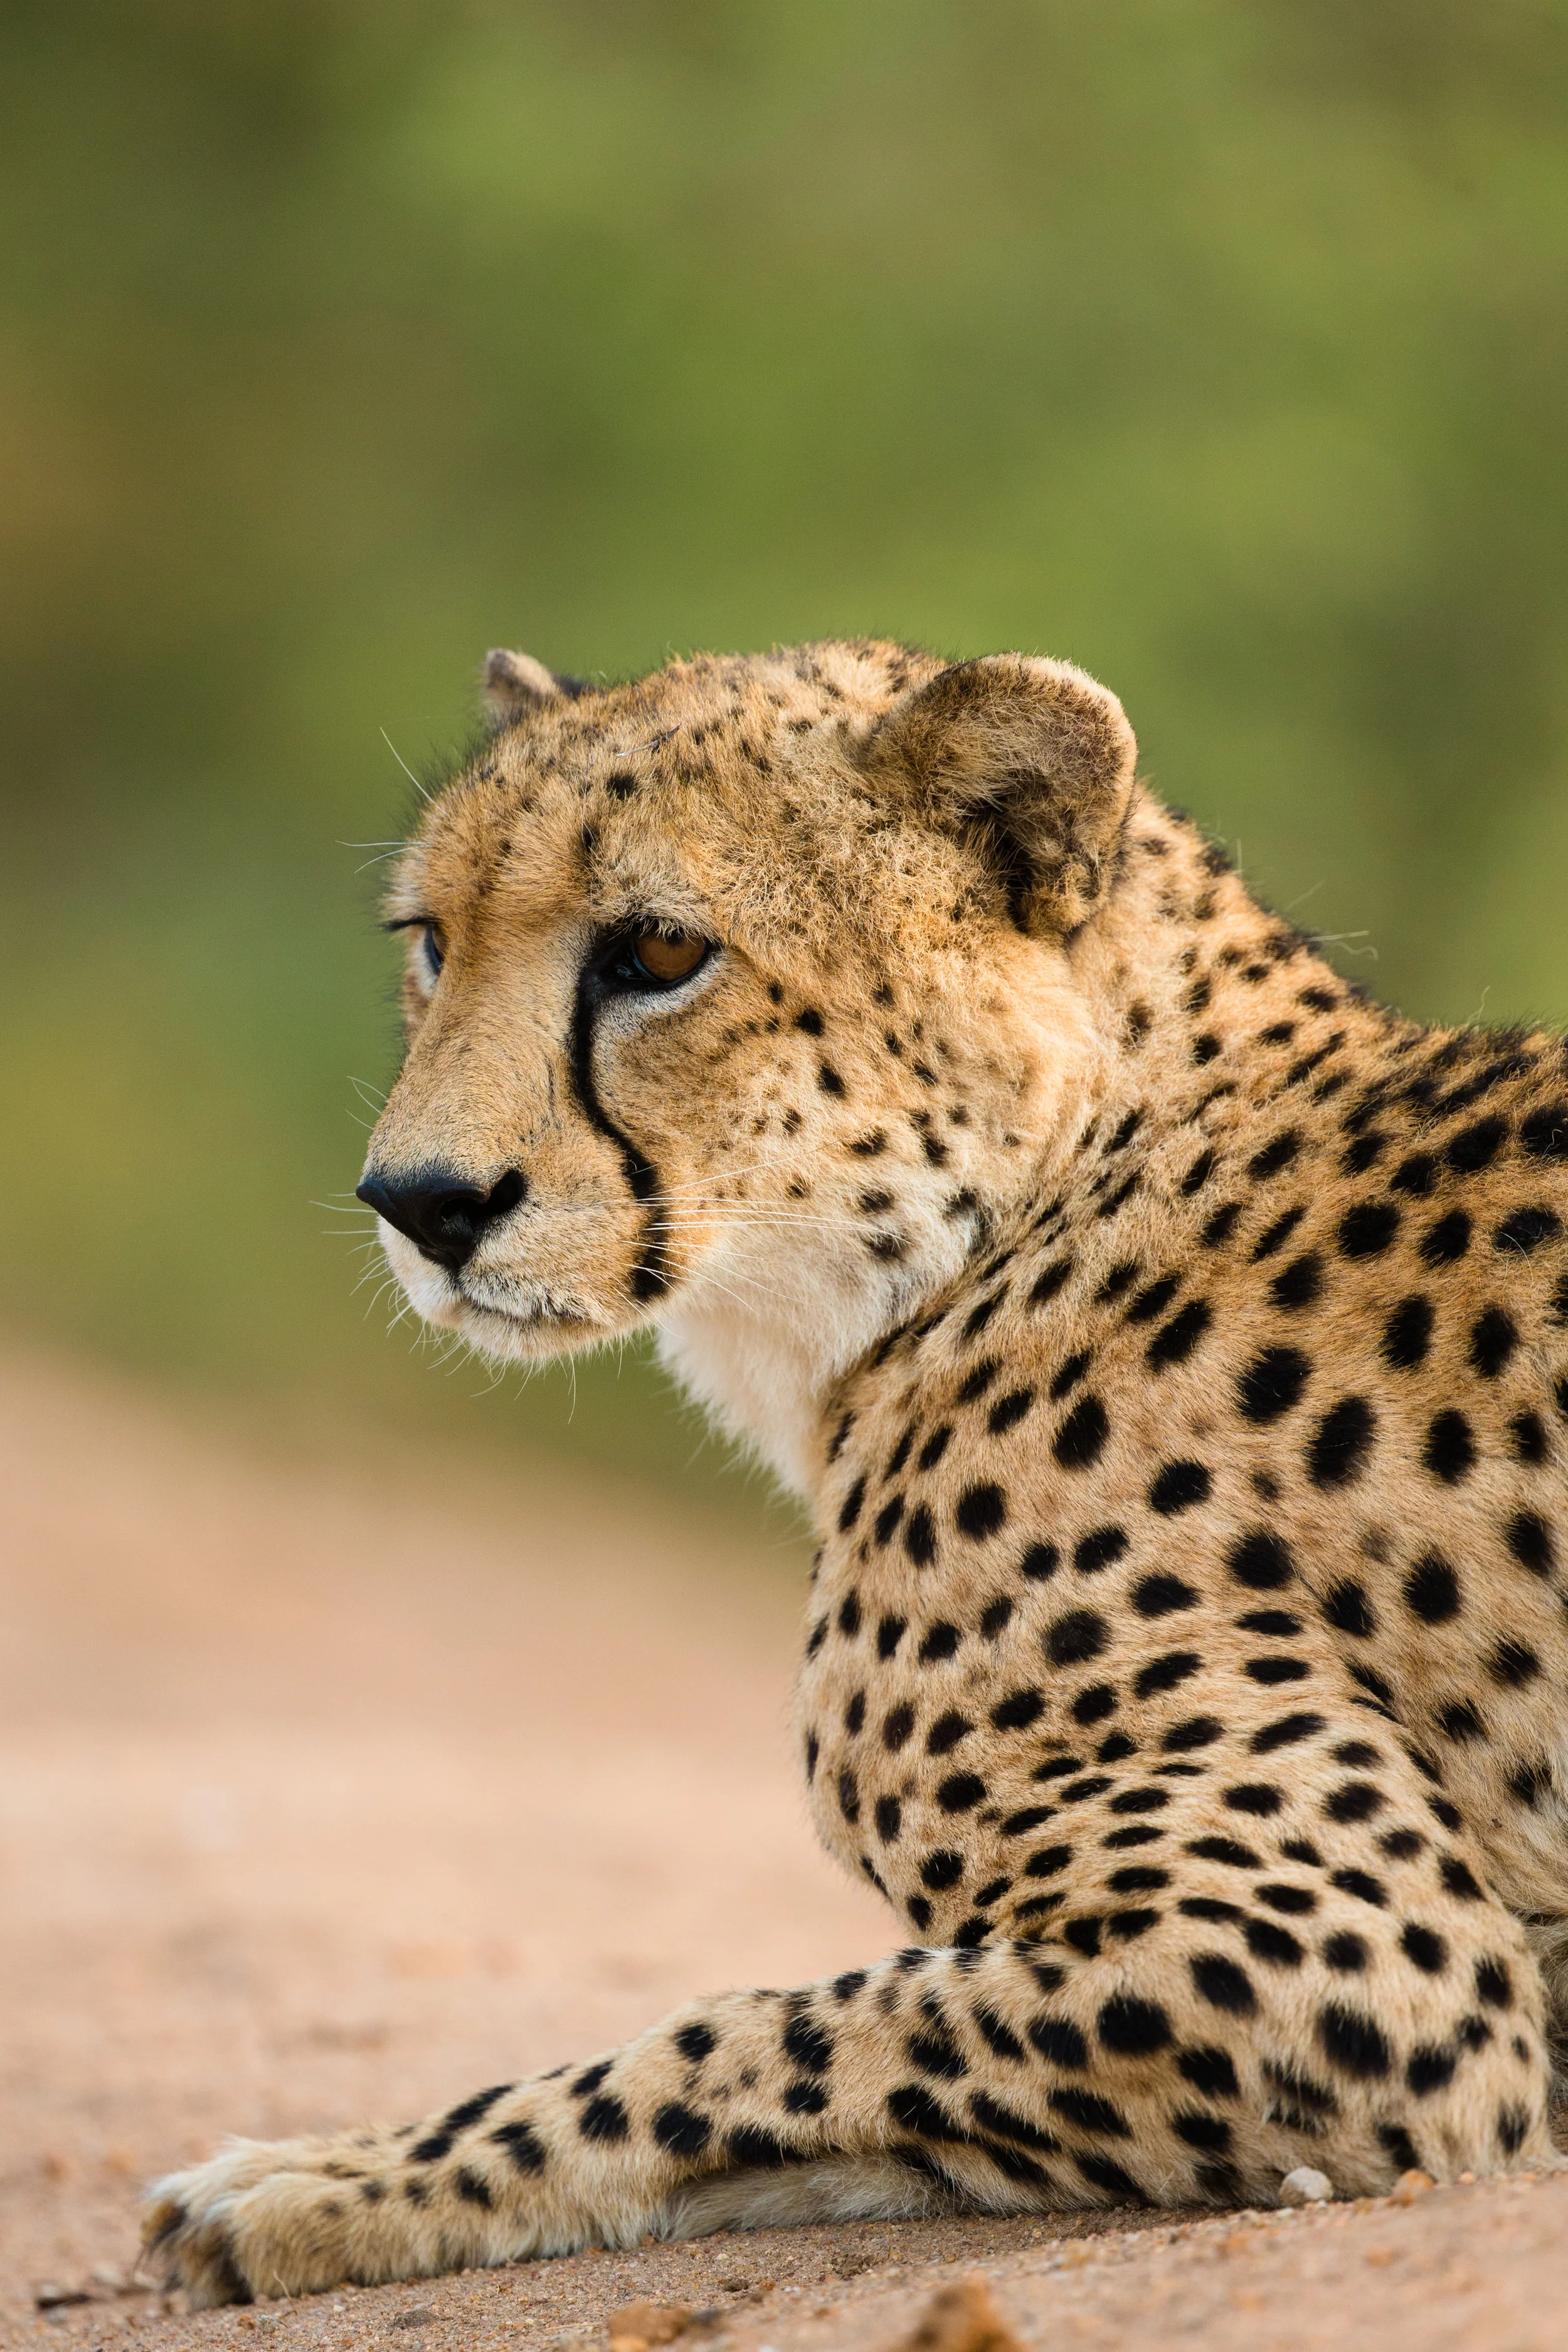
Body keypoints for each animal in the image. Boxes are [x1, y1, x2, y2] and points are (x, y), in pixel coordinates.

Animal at [146, 636, 1568, 2307]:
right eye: (433, 940)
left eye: (658, 949)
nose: (421, 1201)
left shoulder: (1358, 1966)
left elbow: (729, 2035)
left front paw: (322, 2179)